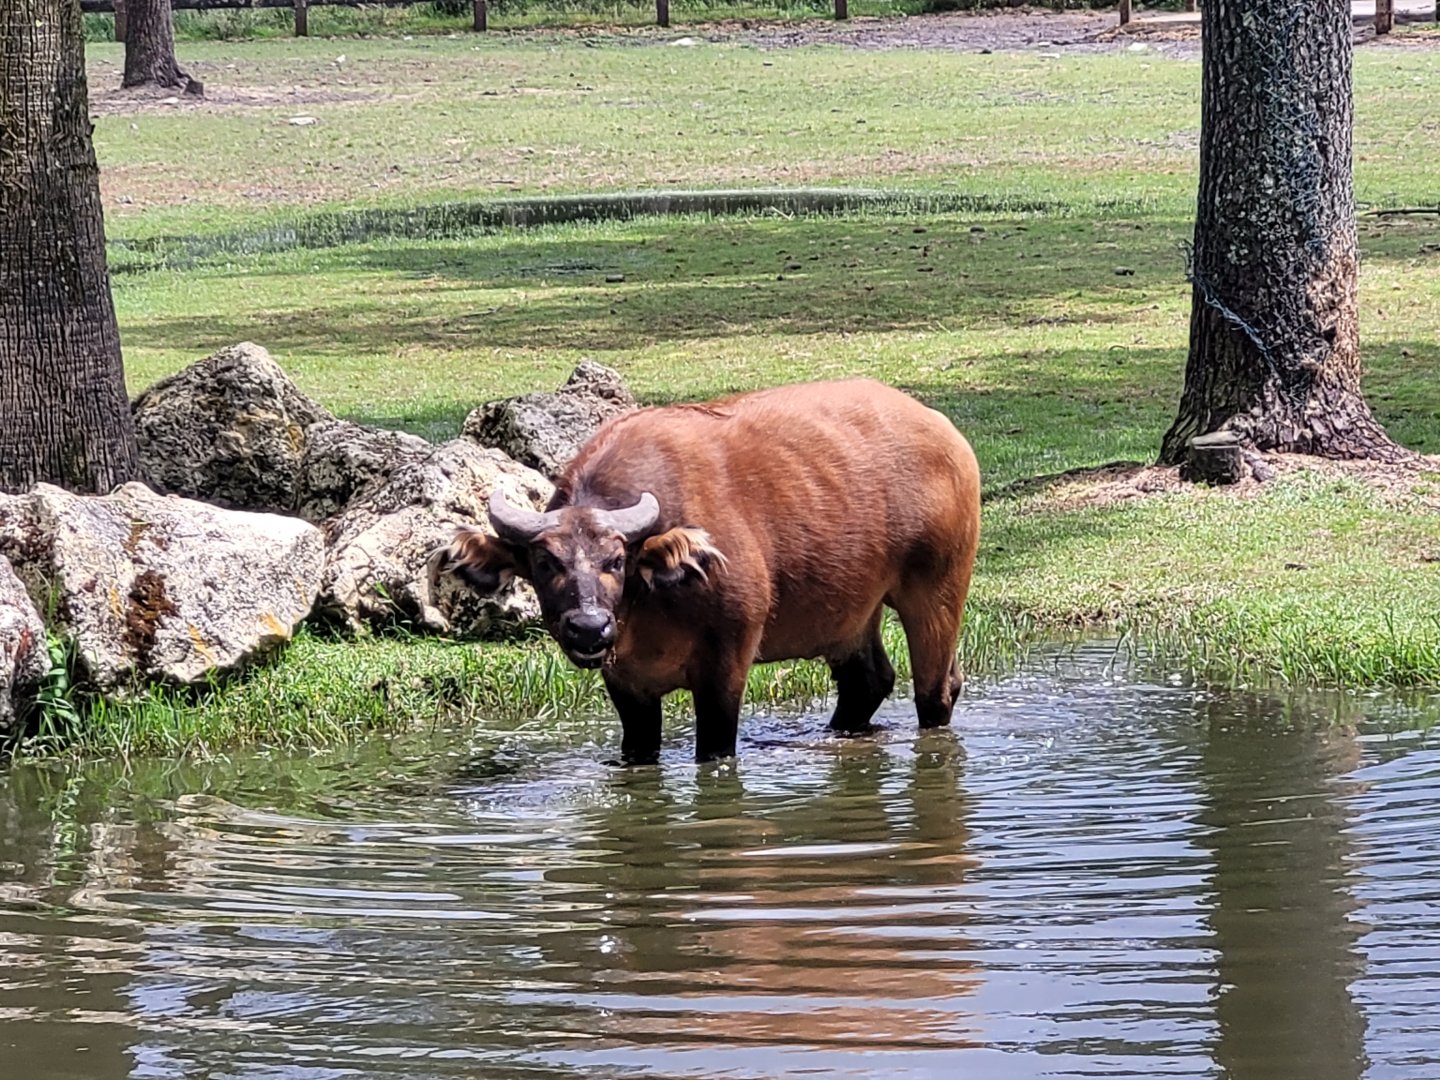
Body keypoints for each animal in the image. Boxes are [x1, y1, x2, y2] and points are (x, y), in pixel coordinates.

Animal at [443, 379, 981, 764]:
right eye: (544, 562)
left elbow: (715, 749)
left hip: (938, 589)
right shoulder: (626, 685)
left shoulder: (727, 662)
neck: (649, 602)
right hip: (853, 615)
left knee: (935, 692)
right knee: (867, 682)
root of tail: (946, 434)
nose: (589, 627)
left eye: (615, 560)